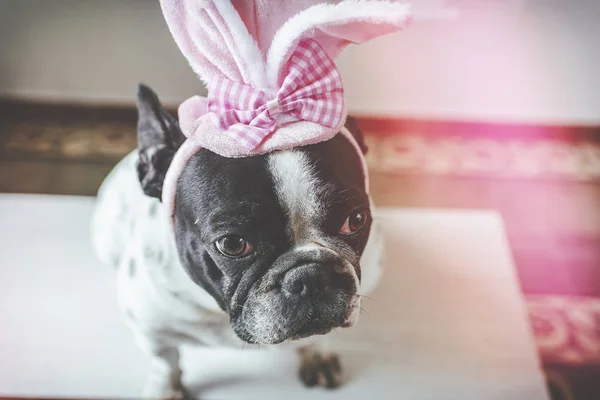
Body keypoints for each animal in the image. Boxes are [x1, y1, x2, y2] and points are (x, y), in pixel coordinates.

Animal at [92, 83, 384, 396]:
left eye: (355, 220)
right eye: (232, 244)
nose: (312, 276)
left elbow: (320, 336)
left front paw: (318, 357)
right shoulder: (153, 330)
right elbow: (165, 361)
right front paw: (166, 390)